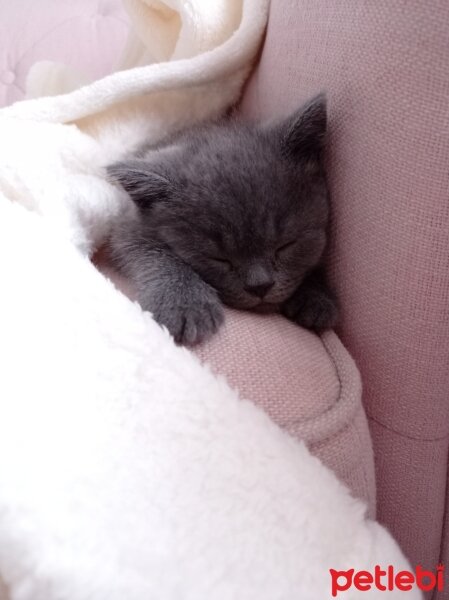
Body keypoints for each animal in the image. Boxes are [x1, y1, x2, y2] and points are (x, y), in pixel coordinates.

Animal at [106, 94, 336, 346]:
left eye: (286, 245)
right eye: (219, 258)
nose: (260, 286)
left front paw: (316, 297)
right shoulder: (128, 228)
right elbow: (150, 254)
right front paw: (185, 304)